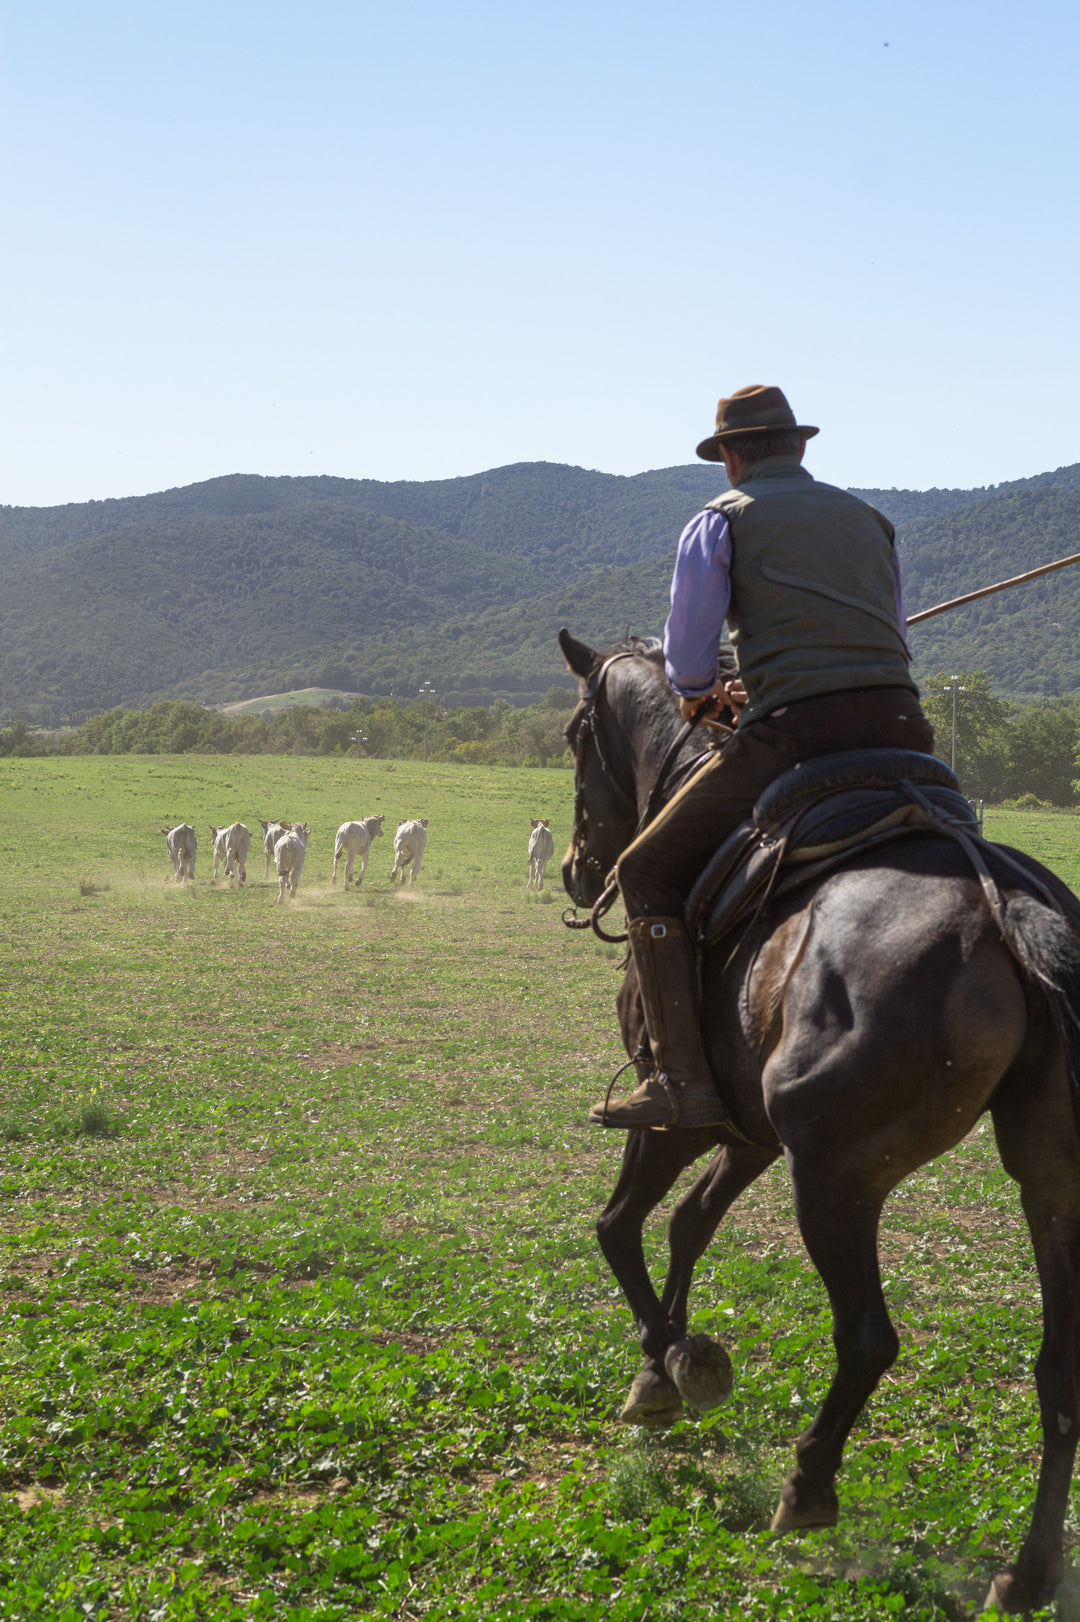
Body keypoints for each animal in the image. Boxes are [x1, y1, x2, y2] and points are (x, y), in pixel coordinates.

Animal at [557, 629, 1076, 1609]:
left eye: (574, 738)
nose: (575, 868)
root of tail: (1003, 904)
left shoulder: (674, 1111)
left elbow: (620, 1224)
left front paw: (670, 1368)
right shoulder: (749, 1132)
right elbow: (688, 1225)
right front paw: (671, 1363)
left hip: (837, 1176)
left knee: (868, 1337)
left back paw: (806, 1487)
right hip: (1048, 1181)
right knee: (1061, 1369)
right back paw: (1025, 1576)